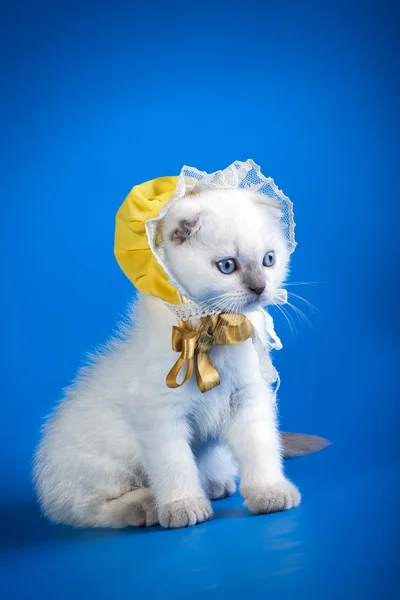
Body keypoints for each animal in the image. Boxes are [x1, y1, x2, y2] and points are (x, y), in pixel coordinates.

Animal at [35, 189, 304, 528]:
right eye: (227, 266)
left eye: (269, 259)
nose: (260, 287)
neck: (210, 332)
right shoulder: (160, 414)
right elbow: (175, 465)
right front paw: (182, 505)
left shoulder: (248, 397)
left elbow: (260, 448)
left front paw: (269, 492)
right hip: (101, 464)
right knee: (91, 509)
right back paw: (146, 506)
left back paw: (214, 484)